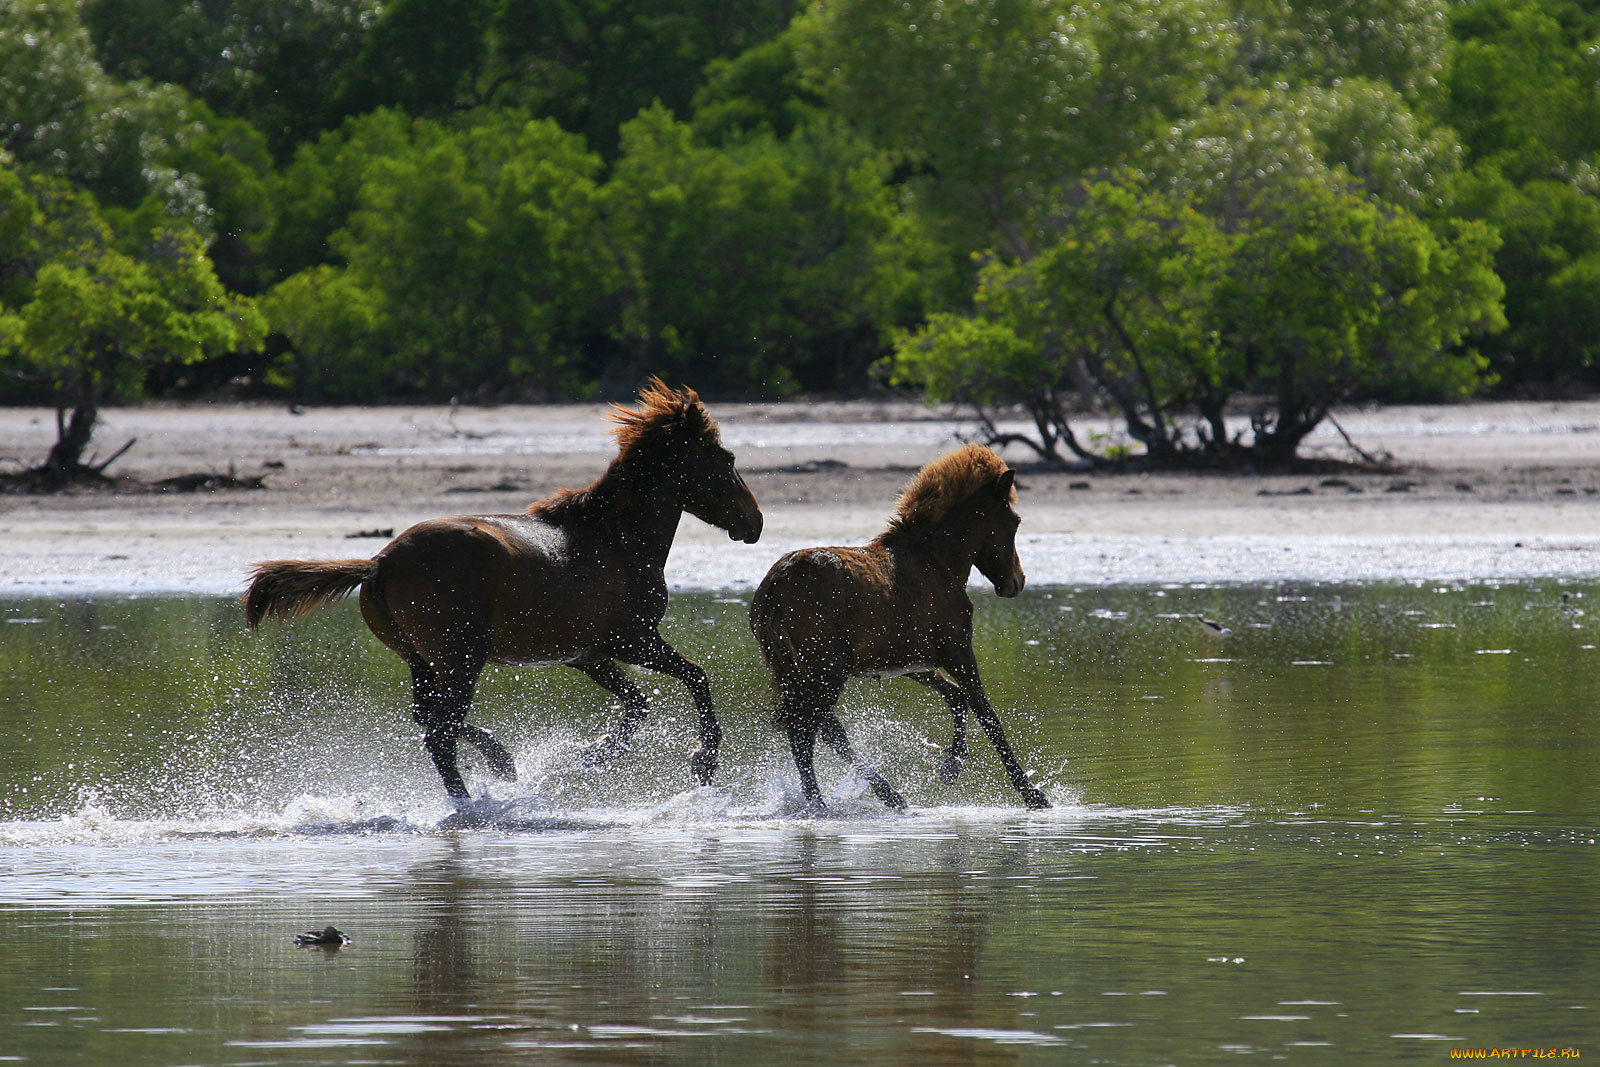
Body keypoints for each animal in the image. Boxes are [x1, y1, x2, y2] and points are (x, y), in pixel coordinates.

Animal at [243, 379, 763, 801]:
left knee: (430, 719)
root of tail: (379, 564)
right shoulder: (632, 640)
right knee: (439, 732)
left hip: (422, 660)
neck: (616, 539)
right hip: (462, 658)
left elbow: (638, 704)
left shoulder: (588, 654)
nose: (754, 523)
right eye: (727, 458)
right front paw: (703, 762)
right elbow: (697, 678)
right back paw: (471, 801)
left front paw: (594, 756)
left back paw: (501, 762)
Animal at [749, 443, 1049, 812]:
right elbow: (987, 714)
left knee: (825, 729)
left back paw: (889, 795)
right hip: (826, 670)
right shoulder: (958, 650)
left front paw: (952, 765)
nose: (1016, 581)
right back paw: (819, 802)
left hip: (806, 671)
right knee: (805, 730)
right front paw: (1032, 793)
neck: (938, 560)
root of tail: (776, 587)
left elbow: (957, 697)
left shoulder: (912, 662)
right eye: (1013, 521)